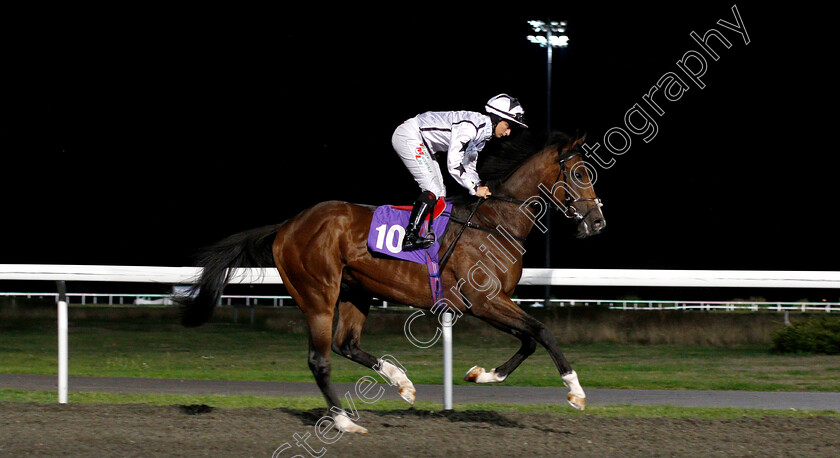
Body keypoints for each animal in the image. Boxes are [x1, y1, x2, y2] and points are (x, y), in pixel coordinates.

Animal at [182, 132, 604, 432]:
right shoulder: (484, 301)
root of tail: (288, 225)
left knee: (346, 344)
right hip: (317, 294)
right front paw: (576, 392)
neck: (495, 222)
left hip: (356, 292)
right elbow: (542, 332)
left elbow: (529, 339)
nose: (598, 222)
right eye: (580, 174)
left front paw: (483, 374)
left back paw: (402, 383)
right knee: (320, 359)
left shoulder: (488, 303)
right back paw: (344, 421)